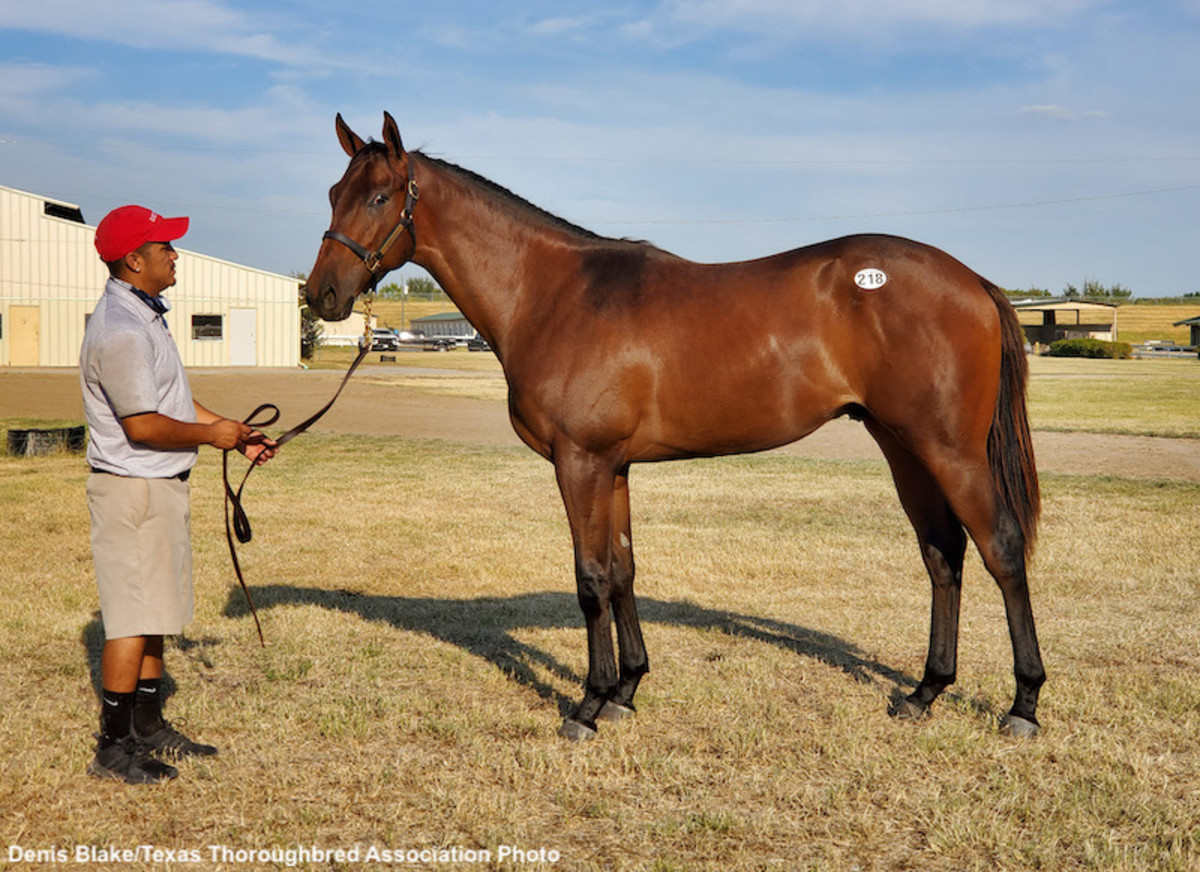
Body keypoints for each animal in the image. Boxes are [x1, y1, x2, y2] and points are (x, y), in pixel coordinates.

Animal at [302, 109, 1041, 738]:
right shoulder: (614, 466)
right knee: (943, 555)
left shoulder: (580, 461)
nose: (322, 296)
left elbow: (590, 579)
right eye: (334, 191)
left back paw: (1023, 704)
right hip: (903, 447)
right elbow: (623, 569)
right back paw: (924, 693)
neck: (552, 294)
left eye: (378, 198)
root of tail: (974, 282)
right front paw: (628, 692)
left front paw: (589, 705)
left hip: (949, 450)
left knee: (1001, 548)